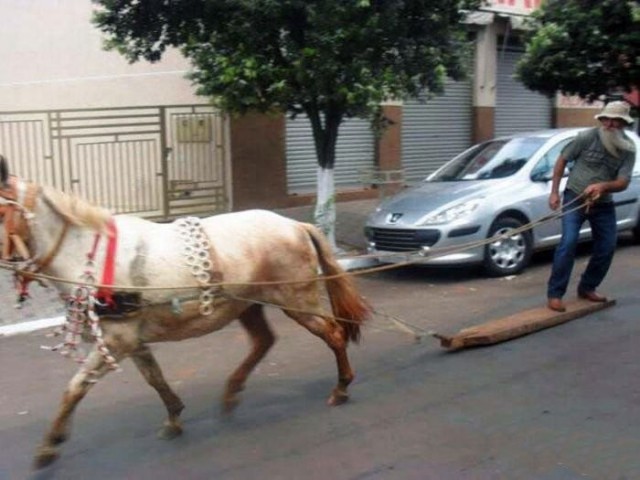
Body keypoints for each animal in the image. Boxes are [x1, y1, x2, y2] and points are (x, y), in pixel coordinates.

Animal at [0, 155, 370, 468]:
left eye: (2, 212)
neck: (94, 254)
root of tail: (297, 226)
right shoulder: (128, 340)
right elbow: (154, 378)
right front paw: (174, 417)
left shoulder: (118, 341)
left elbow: (75, 387)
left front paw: (49, 445)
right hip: (247, 304)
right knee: (264, 341)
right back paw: (232, 392)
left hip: (297, 301)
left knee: (333, 333)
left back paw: (341, 387)